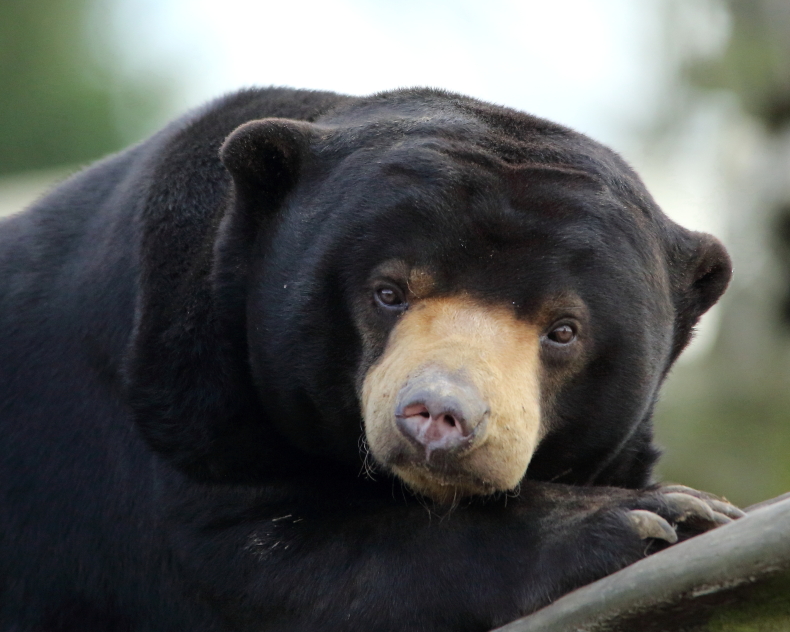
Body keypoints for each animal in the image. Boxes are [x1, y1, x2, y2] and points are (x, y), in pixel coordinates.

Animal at [0, 87, 743, 631]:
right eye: (389, 291)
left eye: (563, 329)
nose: (438, 416)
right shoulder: (174, 414)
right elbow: (274, 568)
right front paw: (663, 515)